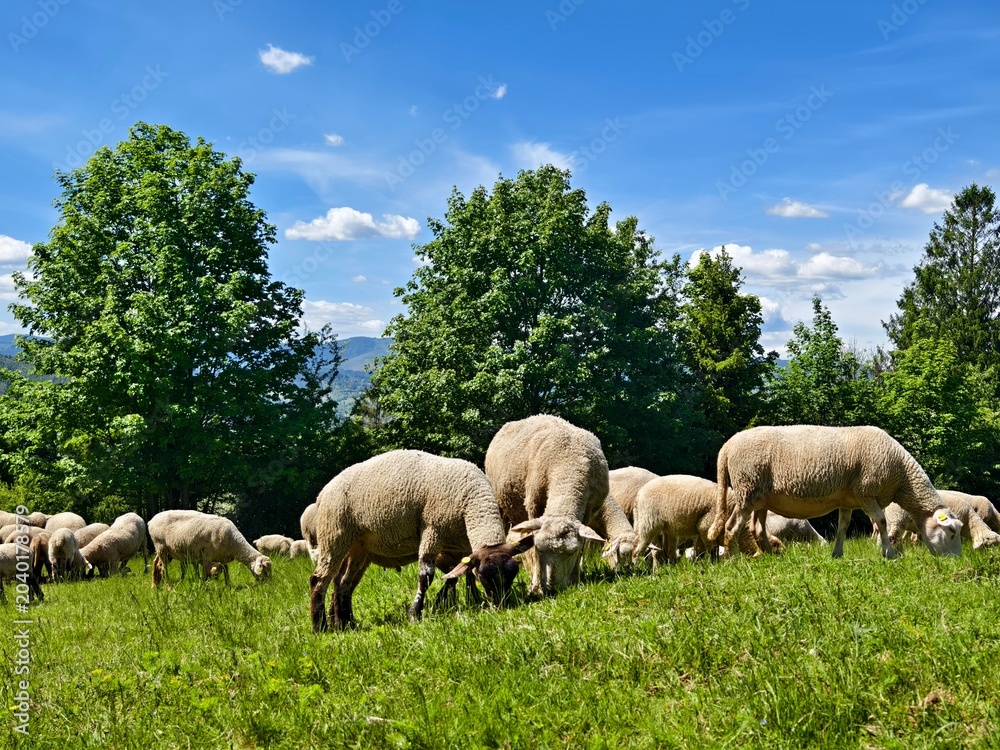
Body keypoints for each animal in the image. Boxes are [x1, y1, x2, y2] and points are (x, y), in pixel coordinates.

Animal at [309, 449, 534, 632]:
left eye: (514, 573)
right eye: (484, 577)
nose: (502, 605)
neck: (471, 500)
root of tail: (323, 492)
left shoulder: (462, 546)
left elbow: (460, 574)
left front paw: (468, 601)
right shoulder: (432, 530)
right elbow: (426, 576)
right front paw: (415, 614)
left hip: (358, 547)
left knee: (343, 583)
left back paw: (346, 624)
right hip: (334, 535)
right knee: (319, 580)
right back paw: (321, 628)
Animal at [486, 415, 608, 597]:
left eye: (571, 552)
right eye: (541, 549)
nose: (552, 588)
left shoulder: (589, 511)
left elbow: (582, 546)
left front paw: (575, 579)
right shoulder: (534, 506)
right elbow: (534, 552)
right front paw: (537, 586)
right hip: (502, 504)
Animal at [708, 425, 963, 559]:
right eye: (951, 531)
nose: (957, 560)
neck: (902, 476)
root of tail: (727, 446)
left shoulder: (847, 499)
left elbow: (843, 526)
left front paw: (837, 554)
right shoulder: (866, 492)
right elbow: (881, 521)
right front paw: (889, 553)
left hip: (761, 497)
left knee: (757, 529)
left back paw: (771, 556)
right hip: (747, 489)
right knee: (731, 526)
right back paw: (732, 558)